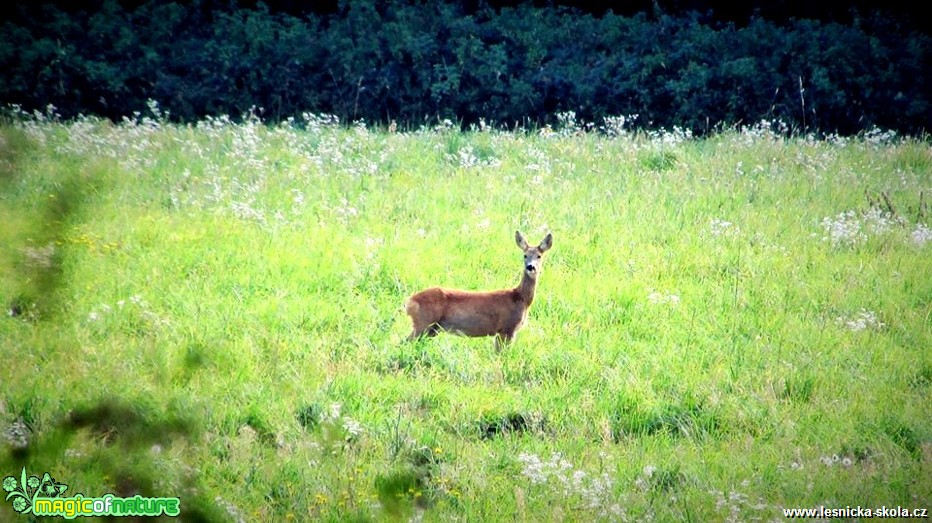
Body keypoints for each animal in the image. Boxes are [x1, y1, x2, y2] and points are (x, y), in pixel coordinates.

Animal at [402, 230, 548, 348]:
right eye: (525, 255)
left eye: (539, 256)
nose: (531, 267)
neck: (520, 298)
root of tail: (409, 302)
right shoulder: (507, 328)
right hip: (423, 323)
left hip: (432, 329)